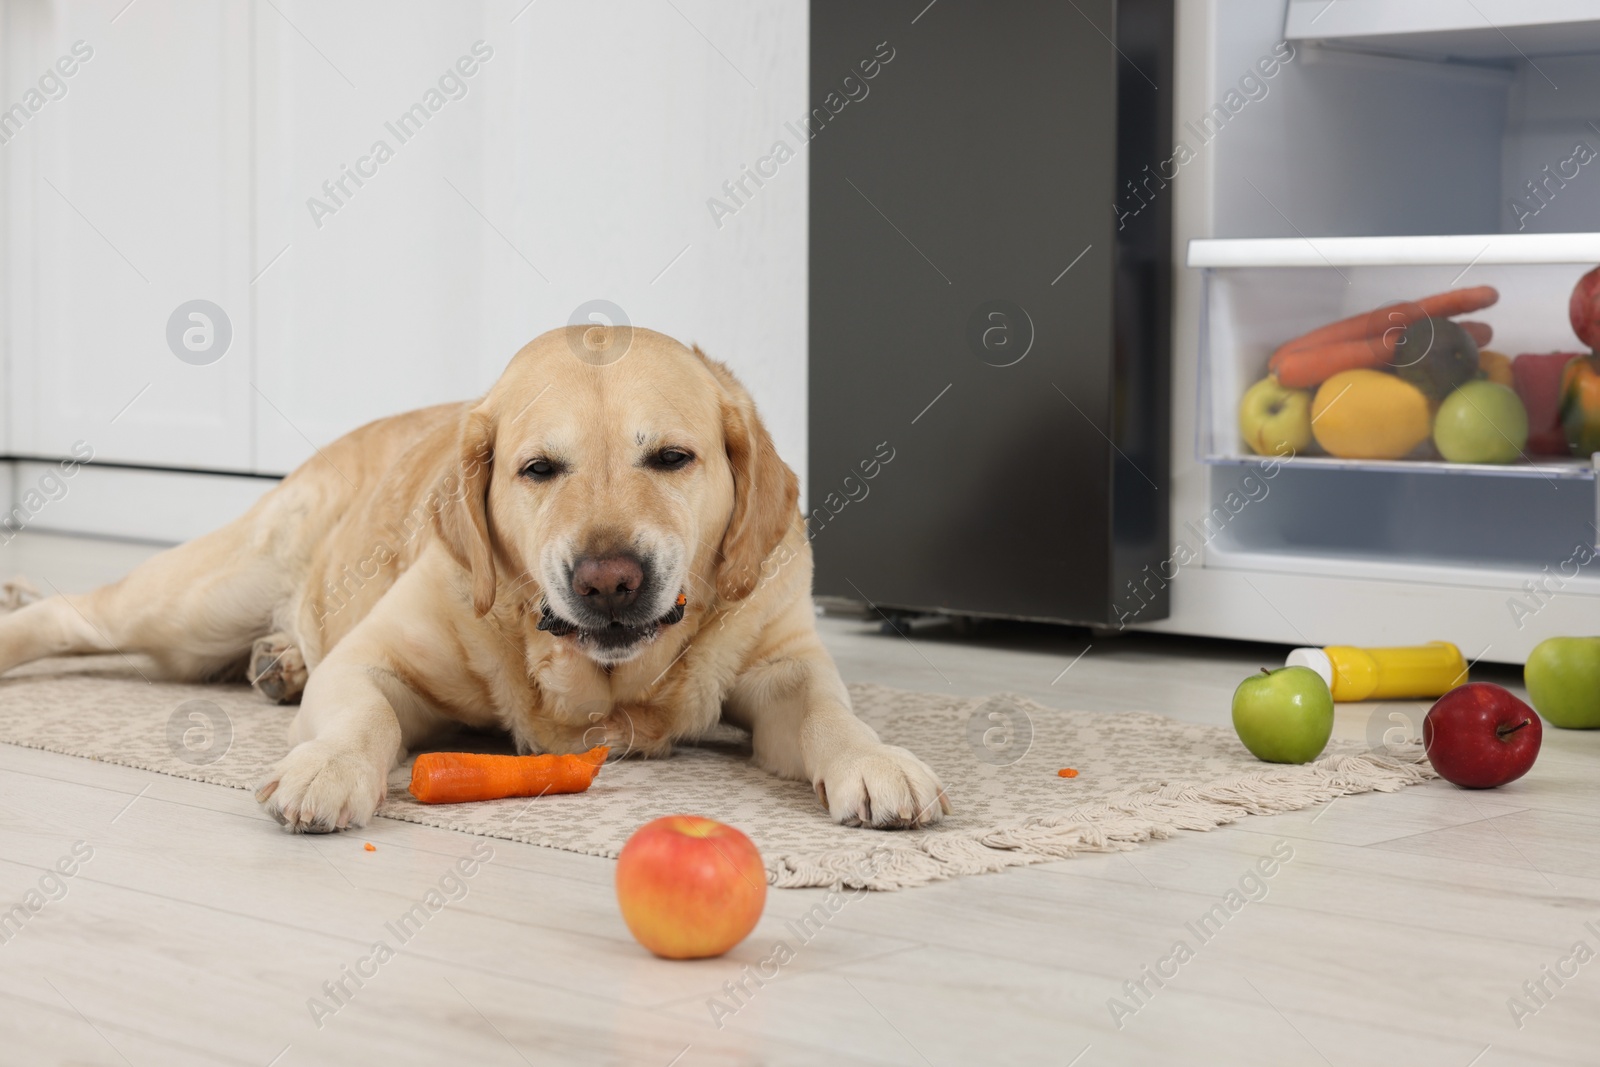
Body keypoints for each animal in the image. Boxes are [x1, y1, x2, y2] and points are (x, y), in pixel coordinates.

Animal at [0, 326, 947, 831]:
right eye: (539, 469)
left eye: (673, 457)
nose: (610, 580)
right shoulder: (373, 660)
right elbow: (365, 719)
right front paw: (327, 768)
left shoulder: (785, 663)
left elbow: (829, 712)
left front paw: (877, 761)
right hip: (199, 601)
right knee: (74, 617)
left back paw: (280, 660)